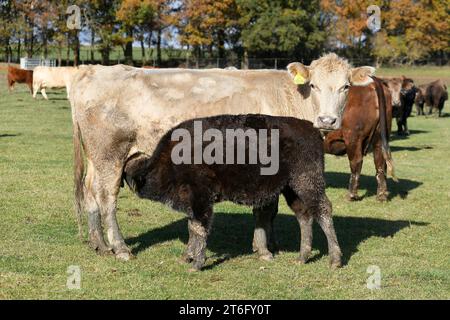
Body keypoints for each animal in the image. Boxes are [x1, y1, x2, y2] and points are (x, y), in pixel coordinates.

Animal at [123, 114, 342, 270]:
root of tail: (311, 128)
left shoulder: (201, 199)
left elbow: (199, 228)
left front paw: (196, 263)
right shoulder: (192, 203)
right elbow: (192, 227)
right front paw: (186, 257)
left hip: (307, 183)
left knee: (323, 210)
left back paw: (335, 260)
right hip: (291, 189)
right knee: (304, 215)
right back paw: (302, 257)